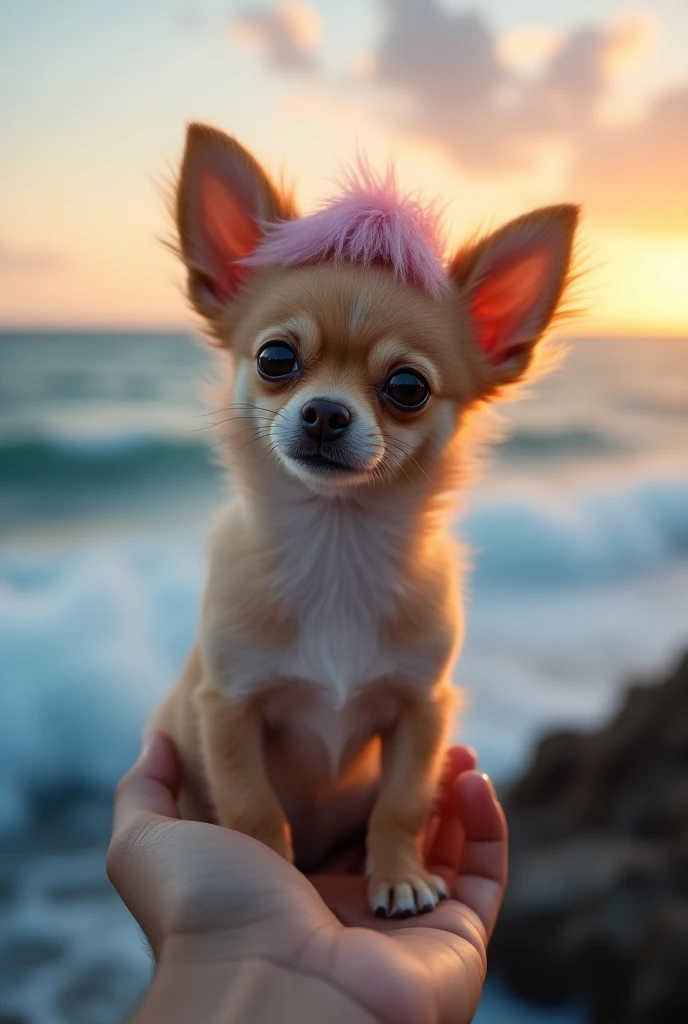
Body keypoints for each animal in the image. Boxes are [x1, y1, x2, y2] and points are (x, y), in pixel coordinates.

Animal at [153, 121, 577, 921]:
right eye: (275, 358)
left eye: (407, 386)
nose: (325, 412)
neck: (336, 543)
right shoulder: (227, 708)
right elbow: (253, 809)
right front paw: (274, 875)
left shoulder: (422, 708)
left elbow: (402, 802)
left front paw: (400, 876)